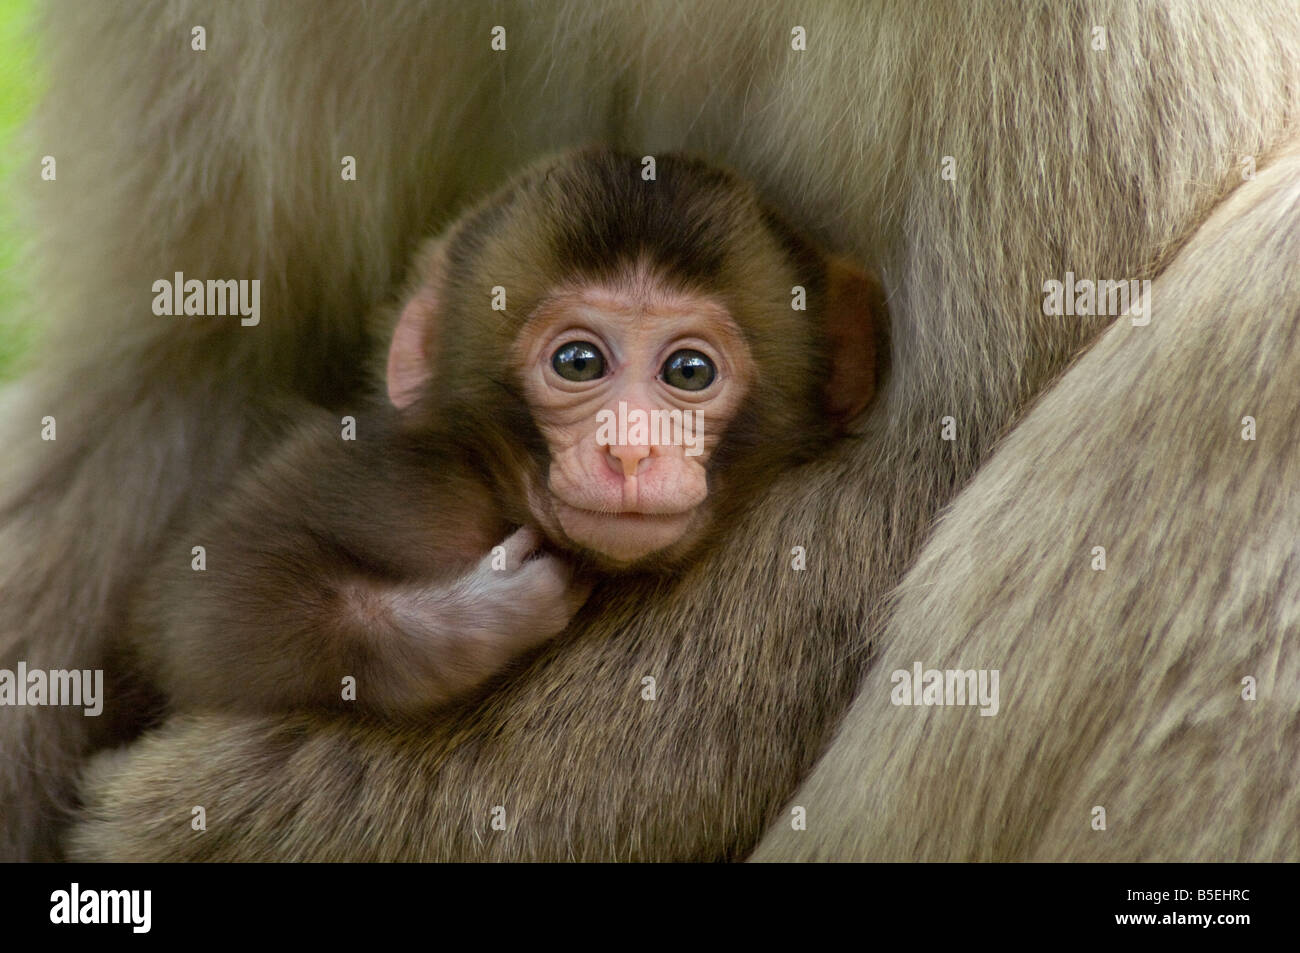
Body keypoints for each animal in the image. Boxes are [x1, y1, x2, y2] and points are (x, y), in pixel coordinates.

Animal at [129, 146, 883, 712]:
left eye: (689, 371)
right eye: (578, 362)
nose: (630, 449)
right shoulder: (399, 478)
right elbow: (208, 608)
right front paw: (481, 614)